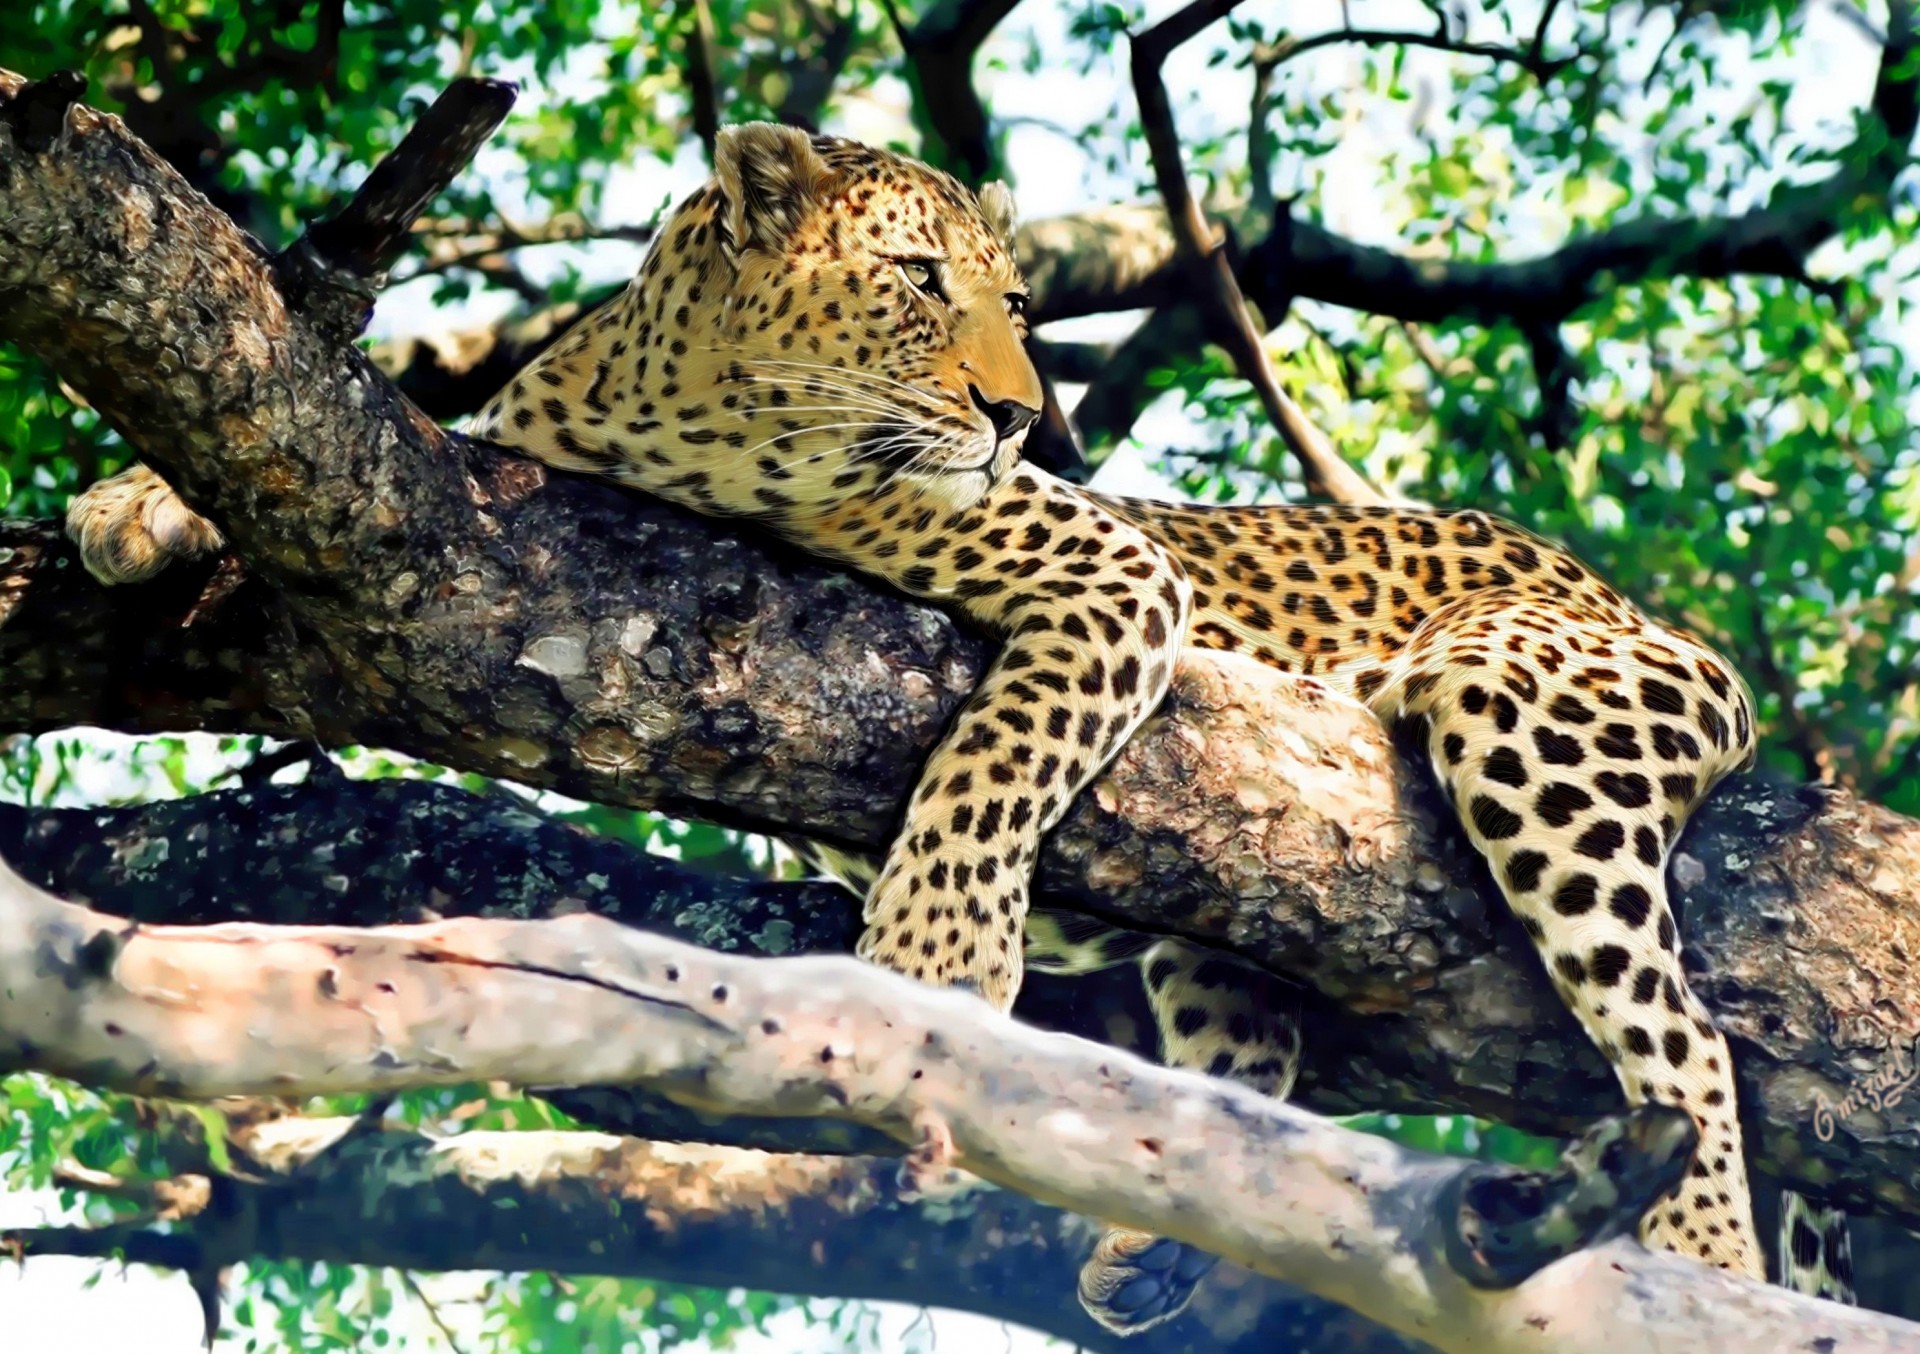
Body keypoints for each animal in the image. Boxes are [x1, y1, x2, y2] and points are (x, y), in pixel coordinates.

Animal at [67, 122, 1854, 1330]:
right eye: (920, 286)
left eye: (1016, 300)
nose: (1018, 414)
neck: (701, 420)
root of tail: (1637, 604)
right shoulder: (500, 450)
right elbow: (332, 413)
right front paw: (126, 501)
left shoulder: (1113, 570)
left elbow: (1000, 749)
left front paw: (931, 954)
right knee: (1251, 1043)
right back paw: (1153, 1240)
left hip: (1533, 705)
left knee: (1683, 1041)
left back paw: (1703, 1266)